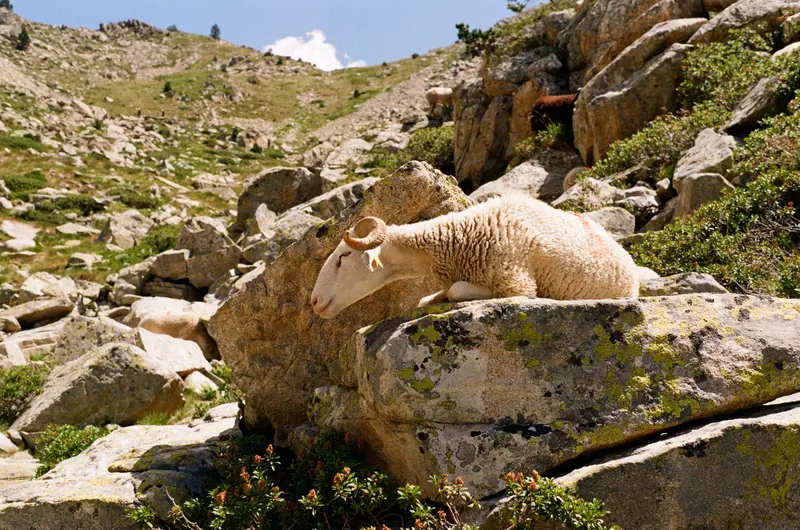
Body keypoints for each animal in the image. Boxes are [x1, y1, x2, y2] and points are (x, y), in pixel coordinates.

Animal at [311, 194, 639, 319]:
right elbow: (424, 299)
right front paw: (434, 298)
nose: (314, 301)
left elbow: (457, 290)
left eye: (343, 257)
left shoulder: (517, 284)